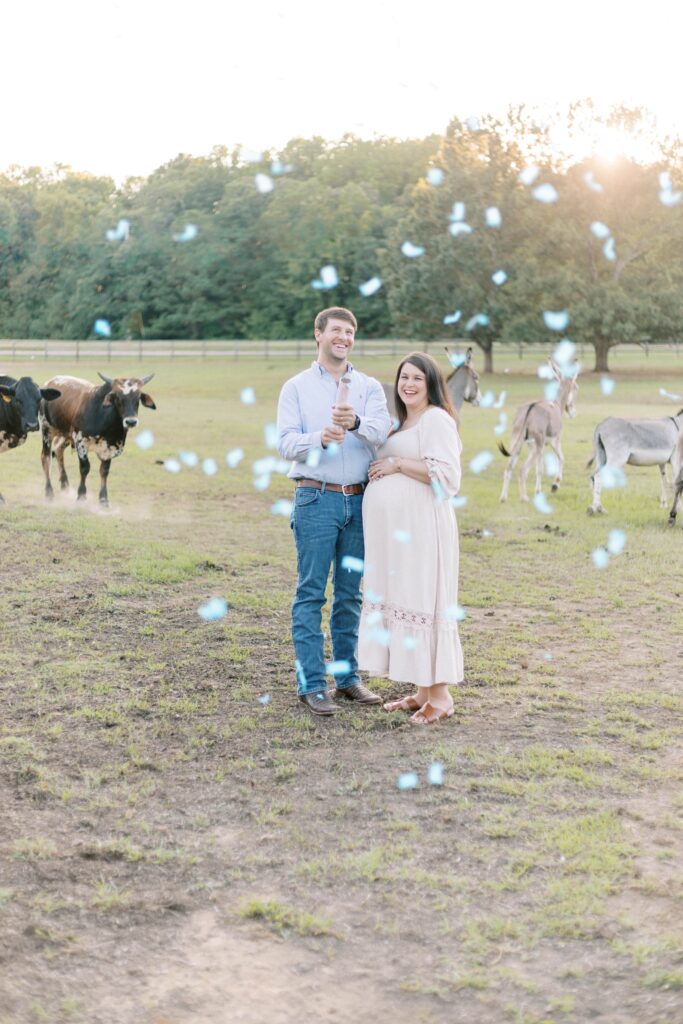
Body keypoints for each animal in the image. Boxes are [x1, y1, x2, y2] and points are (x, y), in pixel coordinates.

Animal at [39, 374, 156, 505]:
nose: (131, 421)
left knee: (58, 451)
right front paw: (81, 495)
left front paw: (104, 499)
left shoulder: (109, 448)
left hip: (65, 434)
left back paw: (65, 486)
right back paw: (49, 492)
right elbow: (85, 468)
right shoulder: (80, 441)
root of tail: (50, 381)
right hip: (47, 430)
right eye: (118, 397)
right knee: (46, 458)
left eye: (138, 398)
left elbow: (104, 471)